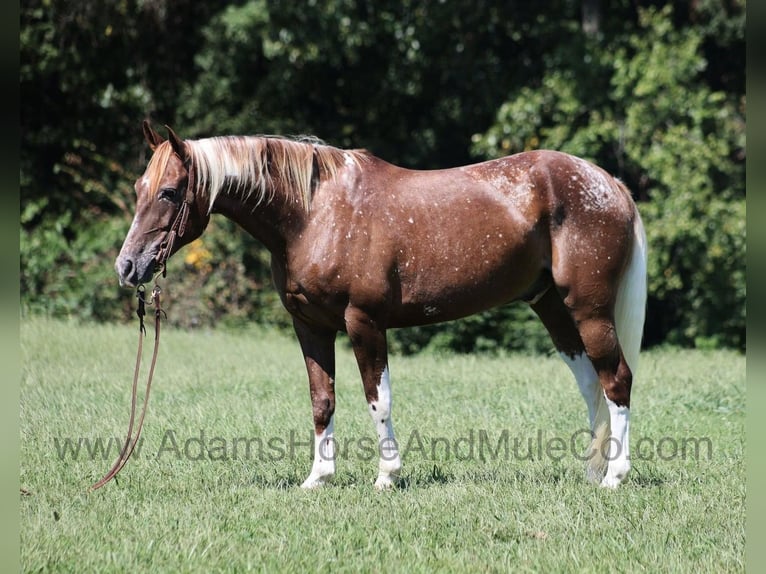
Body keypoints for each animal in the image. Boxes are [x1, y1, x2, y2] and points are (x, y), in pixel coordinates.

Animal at [117, 121, 652, 490]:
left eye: (169, 192)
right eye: (140, 189)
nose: (128, 266)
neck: (313, 213)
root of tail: (609, 183)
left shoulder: (364, 322)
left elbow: (378, 399)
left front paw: (387, 475)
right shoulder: (310, 327)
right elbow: (322, 399)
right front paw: (318, 478)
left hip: (589, 310)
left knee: (617, 380)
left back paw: (615, 477)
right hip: (552, 308)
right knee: (592, 385)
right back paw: (592, 471)